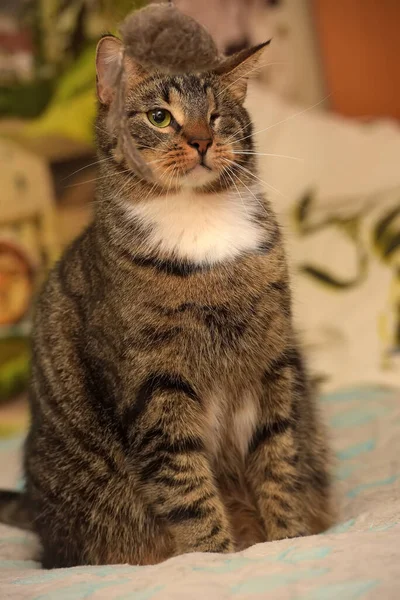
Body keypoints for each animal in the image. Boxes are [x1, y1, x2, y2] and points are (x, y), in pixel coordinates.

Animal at [0, 32, 334, 568]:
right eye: (160, 116)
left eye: (216, 115)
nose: (201, 140)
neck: (198, 226)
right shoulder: (155, 389)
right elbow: (188, 490)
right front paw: (216, 557)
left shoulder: (272, 369)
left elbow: (280, 466)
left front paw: (288, 541)